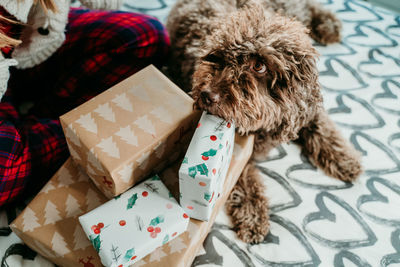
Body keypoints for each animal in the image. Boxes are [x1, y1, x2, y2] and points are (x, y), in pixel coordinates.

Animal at [166, 0, 362, 245]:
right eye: (216, 57)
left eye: (259, 66)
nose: (206, 95)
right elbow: (243, 177)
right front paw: (252, 212)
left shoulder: (305, 109)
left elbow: (322, 127)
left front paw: (344, 159)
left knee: (311, 7)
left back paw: (328, 24)